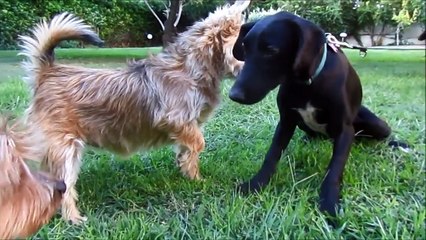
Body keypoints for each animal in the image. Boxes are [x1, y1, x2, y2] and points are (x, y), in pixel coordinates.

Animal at [17, 0, 250, 224]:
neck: (191, 68)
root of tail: (48, 72)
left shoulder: (188, 125)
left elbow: (188, 151)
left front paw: (193, 177)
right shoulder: (176, 119)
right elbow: (198, 143)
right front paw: (194, 173)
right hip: (64, 148)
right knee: (63, 185)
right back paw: (73, 217)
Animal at [228, 11, 398, 220]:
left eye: (271, 50)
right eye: (245, 47)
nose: (234, 95)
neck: (307, 82)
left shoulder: (344, 129)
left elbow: (335, 168)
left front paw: (329, 203)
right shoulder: (286, 121)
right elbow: (272, 154)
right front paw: (256, 183)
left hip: (377, 125)